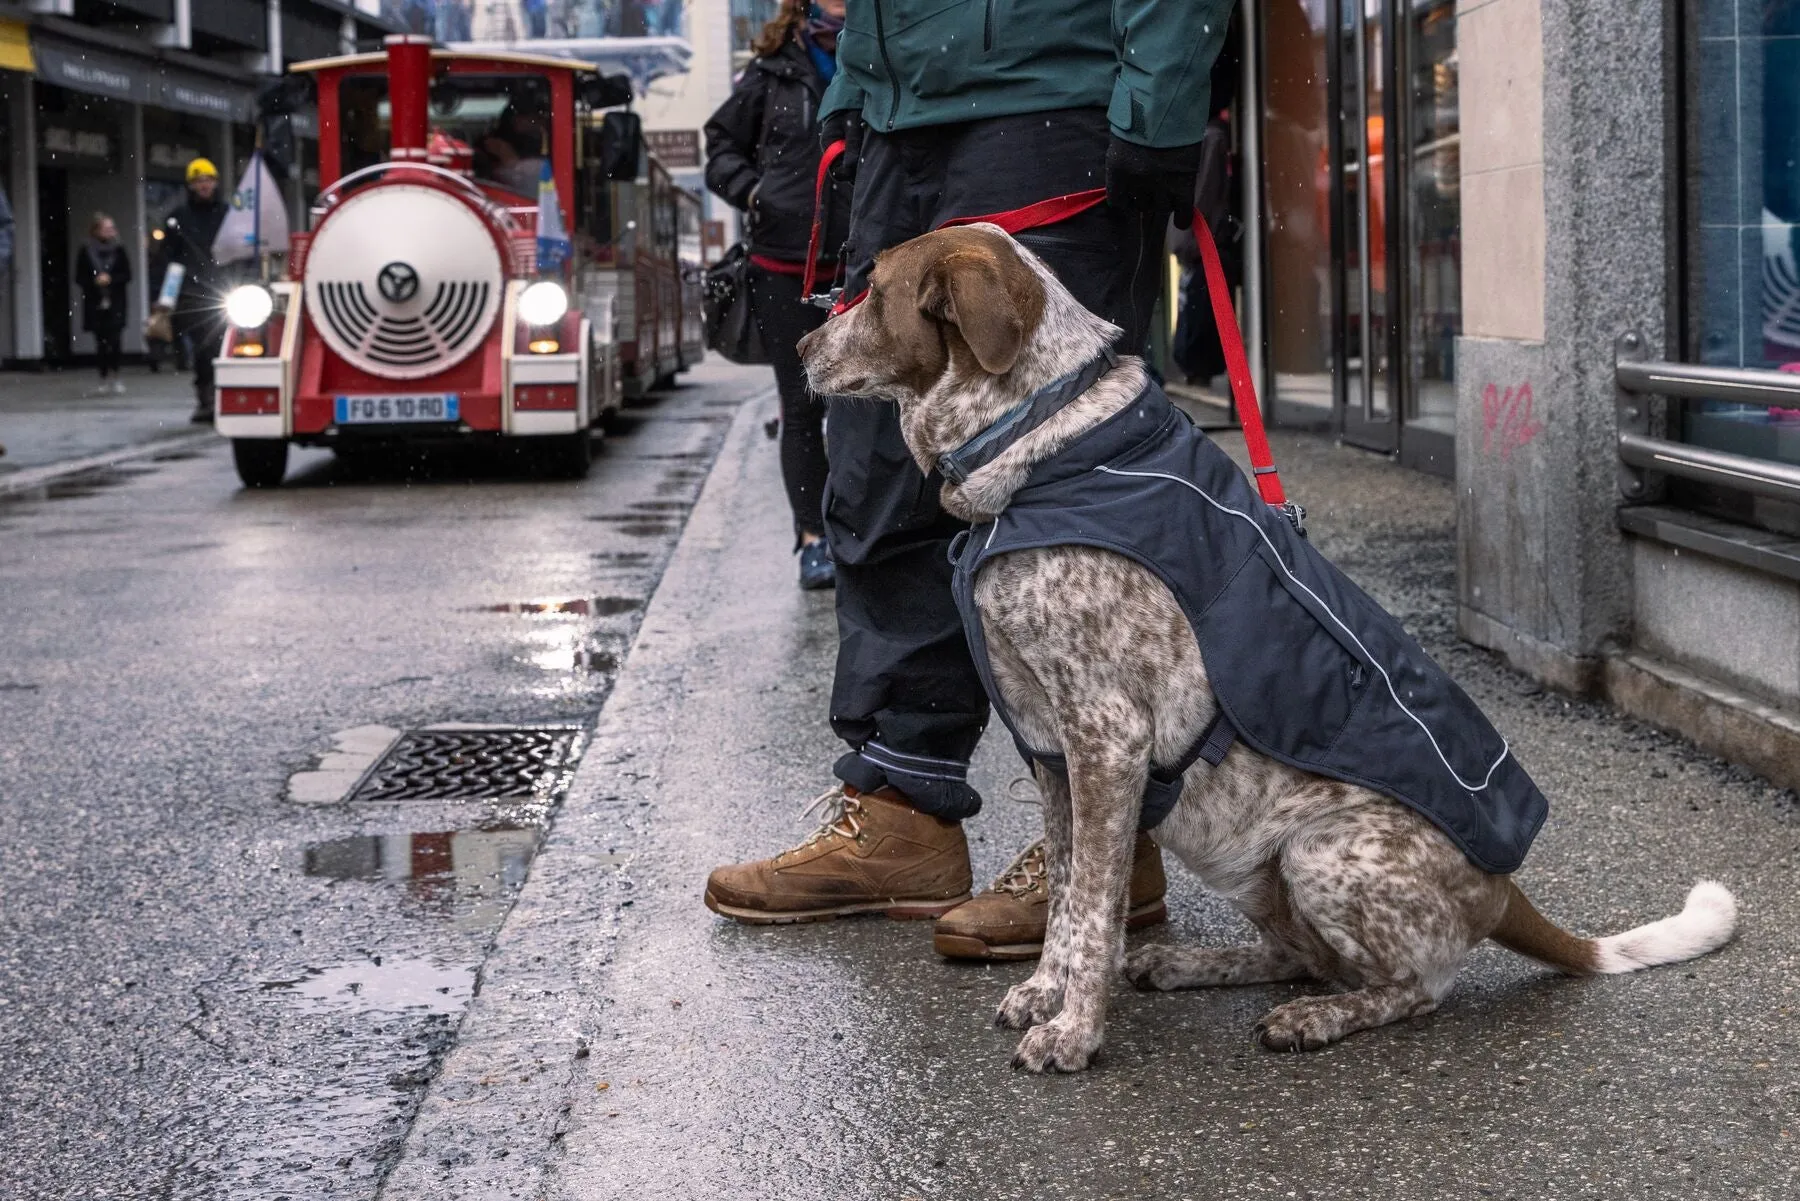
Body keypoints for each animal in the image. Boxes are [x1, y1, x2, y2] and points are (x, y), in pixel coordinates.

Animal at [795, 223, 1735, 1073]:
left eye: (869, 288)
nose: (801, 344)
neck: (1044, 442)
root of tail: (1507, 894)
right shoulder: (1050, 750)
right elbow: (1066, 895)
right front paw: (1047, 991)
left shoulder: (1107, 738)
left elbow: (1094, 906)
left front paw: (1074, 1032)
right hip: (1251, 862)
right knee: (1300, 957)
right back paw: (1192, 965)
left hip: (1320, 851)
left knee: (1414, 988)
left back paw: (1317, 1019)